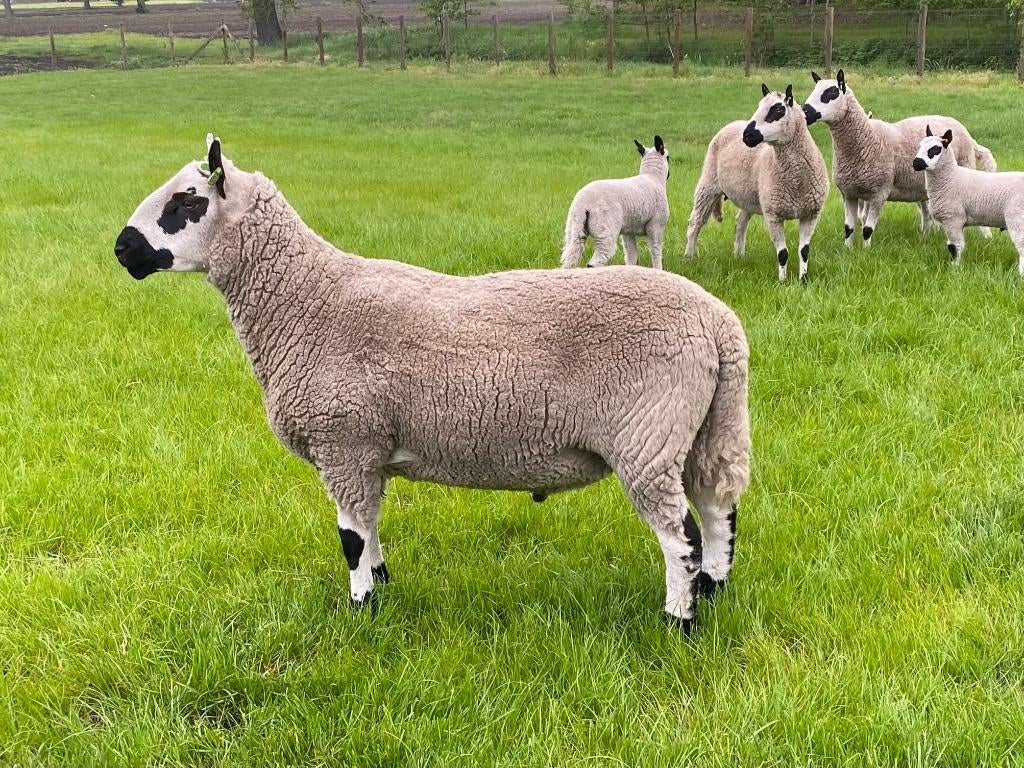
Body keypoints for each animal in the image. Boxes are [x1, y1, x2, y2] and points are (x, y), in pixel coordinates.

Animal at [561, 136, 670, 270]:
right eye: (668, 157)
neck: (653, 177)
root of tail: (583, 204)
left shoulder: (628, 230)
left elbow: (631, 255)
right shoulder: (656, 225)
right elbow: (656, 251)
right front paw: (658, 270)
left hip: (574, 229)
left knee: (570, 258)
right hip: (605, 230)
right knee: (595, 262)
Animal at [686, 84, 829, 284]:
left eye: (778, 110)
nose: (747, 135)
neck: (796, 181)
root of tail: (733, 124)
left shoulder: (811, 214)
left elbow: (804, 251)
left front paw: (803, 280)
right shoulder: (773, 214)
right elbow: (783, 253)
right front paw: (783, 282)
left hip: (748, 196)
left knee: (740, 222)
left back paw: (739, 256)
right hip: (708, 183)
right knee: (695, 222)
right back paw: (689, 256)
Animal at [802, 69, 997, 248]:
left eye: (831, 93)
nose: (804, 113)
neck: (867, 139)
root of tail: (965, 132)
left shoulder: (879, 192)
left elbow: (867, 229)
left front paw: (865, 251)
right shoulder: (849, 193)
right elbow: (849, 228)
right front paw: (848, 250)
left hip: (965, 168)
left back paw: (987, 237)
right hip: (923, 186)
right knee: (927, 214)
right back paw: (926, 237)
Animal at [913, 126, 1024, 276]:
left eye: (935, 149)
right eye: (920, 146)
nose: (916, 163)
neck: (950, 178)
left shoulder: (953, 218)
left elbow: (955, 247)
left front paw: (954, 269)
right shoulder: (955, 221)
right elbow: (952, 246)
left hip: (1017, 218)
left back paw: (1020, 275)